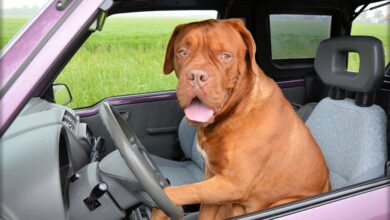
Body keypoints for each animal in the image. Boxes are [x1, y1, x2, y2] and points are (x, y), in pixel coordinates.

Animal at [152, 18, 330, 218]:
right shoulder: (211, 177)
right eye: (182, 52)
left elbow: (179, 191)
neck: (236, 109)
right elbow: (201, 203)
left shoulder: (233, 184)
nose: (196, 75)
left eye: (225, 56)